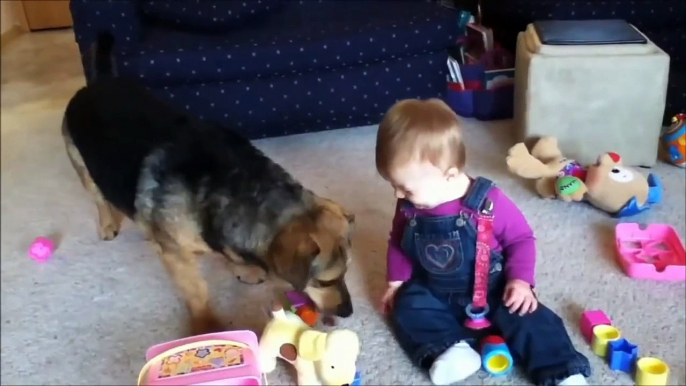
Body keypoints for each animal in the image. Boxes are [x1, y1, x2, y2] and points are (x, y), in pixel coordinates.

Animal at [61, 33, 358, 334]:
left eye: (347, 271)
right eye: (323, 281)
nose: (348, 312)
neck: (239, 185)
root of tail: (98, 83)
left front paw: (243, 269)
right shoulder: (178, 258)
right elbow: (197, 292)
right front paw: (207, 327)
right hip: (81, 165)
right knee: (99, 198)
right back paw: (108, 224)